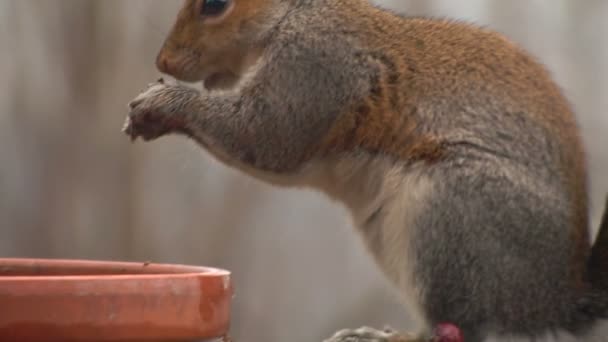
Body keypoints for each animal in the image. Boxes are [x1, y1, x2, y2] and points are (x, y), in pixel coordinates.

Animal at [121, 0, 608, 342]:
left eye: (215, 4)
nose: (164, 63)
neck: (294, 14)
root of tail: (555, 298)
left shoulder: (315, 65)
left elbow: (267, 135)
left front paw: (164, 103)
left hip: (454, 214)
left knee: (460, 327)